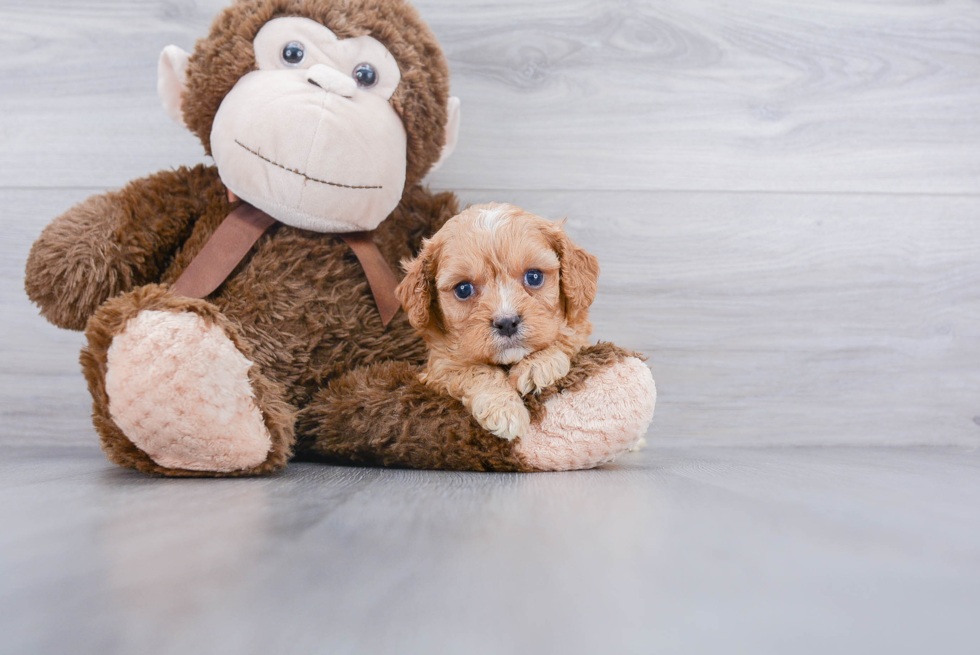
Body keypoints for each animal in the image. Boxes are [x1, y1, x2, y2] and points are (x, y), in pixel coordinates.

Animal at [394, 205, 600, 440]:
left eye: (534, 276)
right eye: (463, 289)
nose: (507, 323)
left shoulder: (579, 335)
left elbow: (565, 338)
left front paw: (537, 364)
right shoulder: (439, 367)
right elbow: (475, 371)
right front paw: (505, 410)